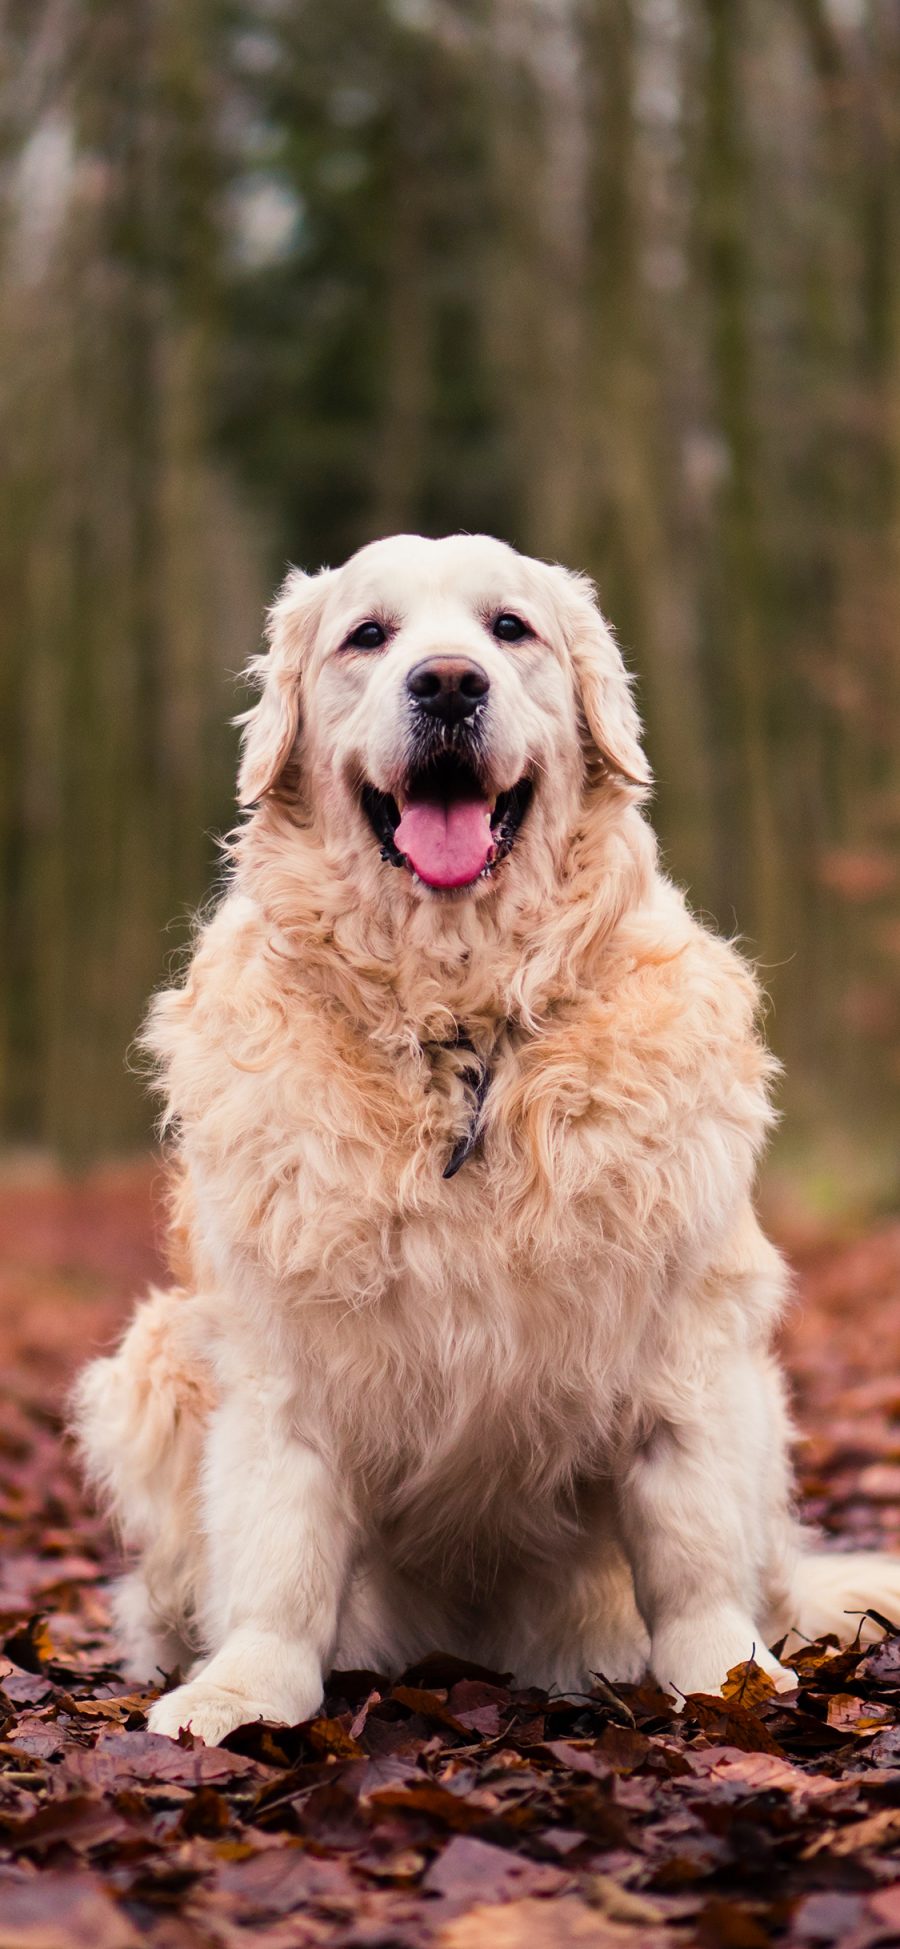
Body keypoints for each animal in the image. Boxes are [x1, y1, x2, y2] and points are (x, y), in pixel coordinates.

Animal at [75, 526, 900, 1746]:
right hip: (152, 1359)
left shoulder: (692, 1339)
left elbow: (693, 1549)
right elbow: (278, 1552)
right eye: (367, 635)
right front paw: (241, 1691)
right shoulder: (279, 1360)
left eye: (510, 628)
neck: (458, 1027)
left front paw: (727, 1679)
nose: (450, 683)